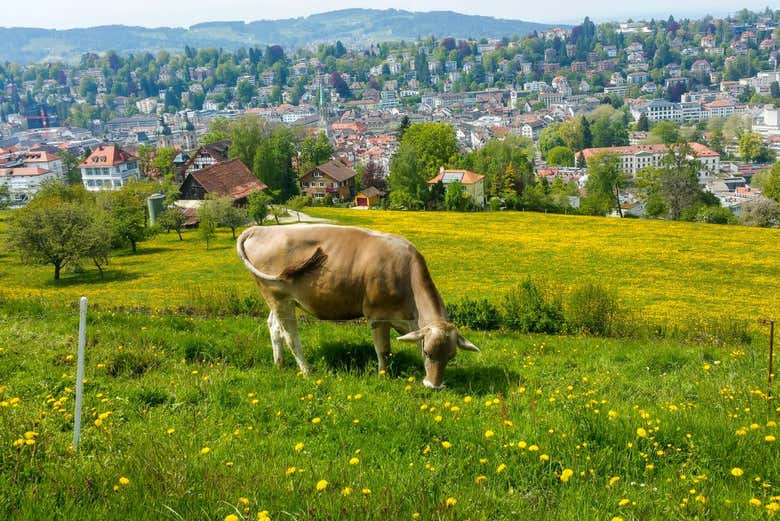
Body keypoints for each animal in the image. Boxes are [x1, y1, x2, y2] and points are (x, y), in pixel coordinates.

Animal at [236, 223, 479, 389]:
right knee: (290, 337)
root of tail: (260, 229)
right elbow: (384, 350)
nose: (434, 386)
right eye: (427, 352)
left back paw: (279, 365)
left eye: (451, 356)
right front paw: (383, 376)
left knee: (273, 328)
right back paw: (308, 372)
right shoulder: (377, 315)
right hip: (278, 298)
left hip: (280, 299)